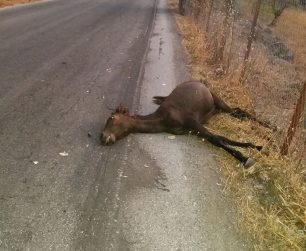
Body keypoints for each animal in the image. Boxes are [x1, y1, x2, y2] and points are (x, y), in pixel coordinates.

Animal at [101, 80, 272, 167]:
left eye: (112, 118)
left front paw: (246, 157)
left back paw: (272, 127)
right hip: (216, 110)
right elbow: (221, 137)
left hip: (217, 100)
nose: (103, 137)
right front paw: (255, 146)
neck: (163, 120)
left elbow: (216, 138)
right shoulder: (191, 129)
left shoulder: (192, 121)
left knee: (237, 110)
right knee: (237, 112)